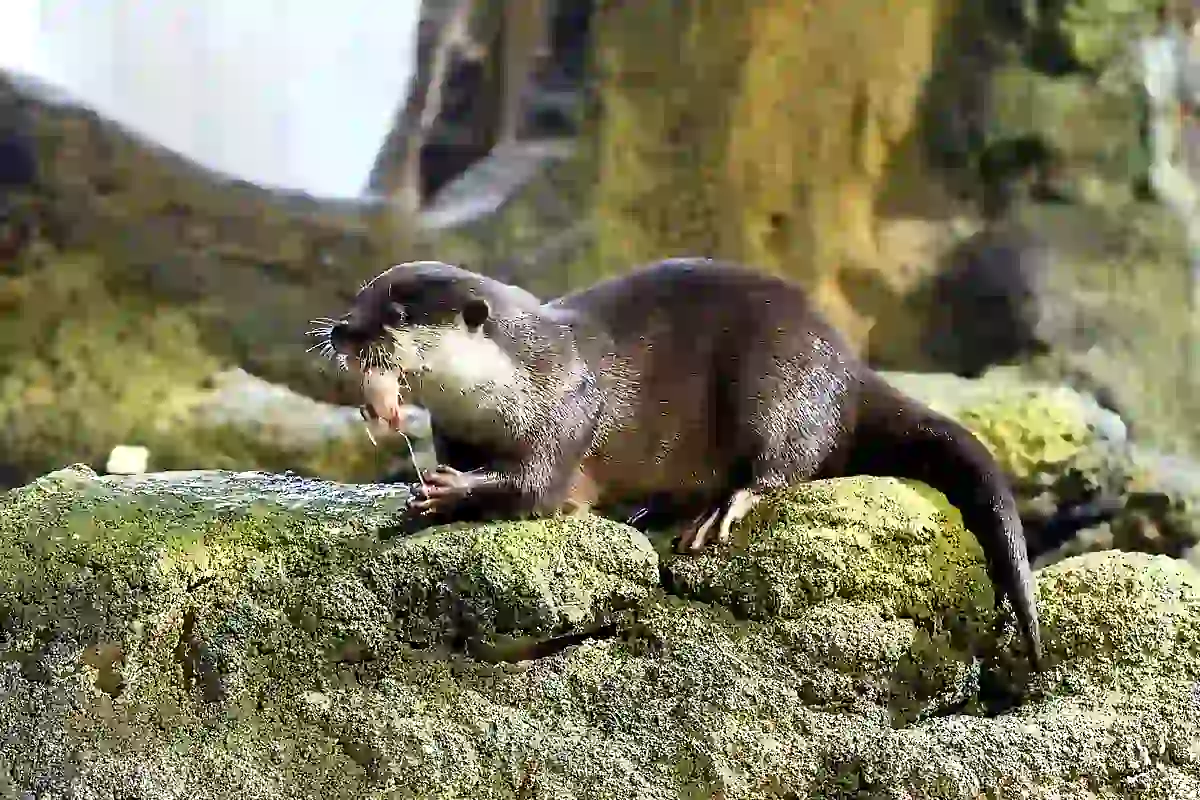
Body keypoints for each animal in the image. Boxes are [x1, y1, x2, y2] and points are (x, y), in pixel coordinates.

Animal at [313, 258, 1042, 668]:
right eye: (358, 298)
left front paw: (444, 494)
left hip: (782, 376)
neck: (514, 379)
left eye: (396, 313)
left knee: (786, 460)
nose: (342, 330)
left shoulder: (567, 409)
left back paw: (720, 509)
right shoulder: (457, 429)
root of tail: (847, 364)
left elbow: (534, 489)